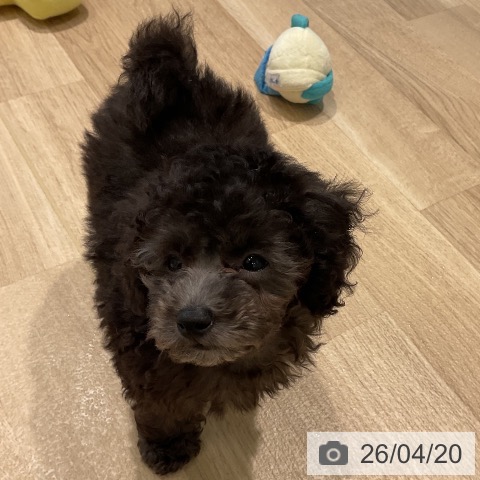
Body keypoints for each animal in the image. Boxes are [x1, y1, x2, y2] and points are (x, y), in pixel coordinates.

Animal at [82, 12, 367, 475]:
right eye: (172, 263)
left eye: (253, 261)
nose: (192, 320)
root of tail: (172, 79)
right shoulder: (145, 360)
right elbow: (161, 406)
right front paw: (168, 447)